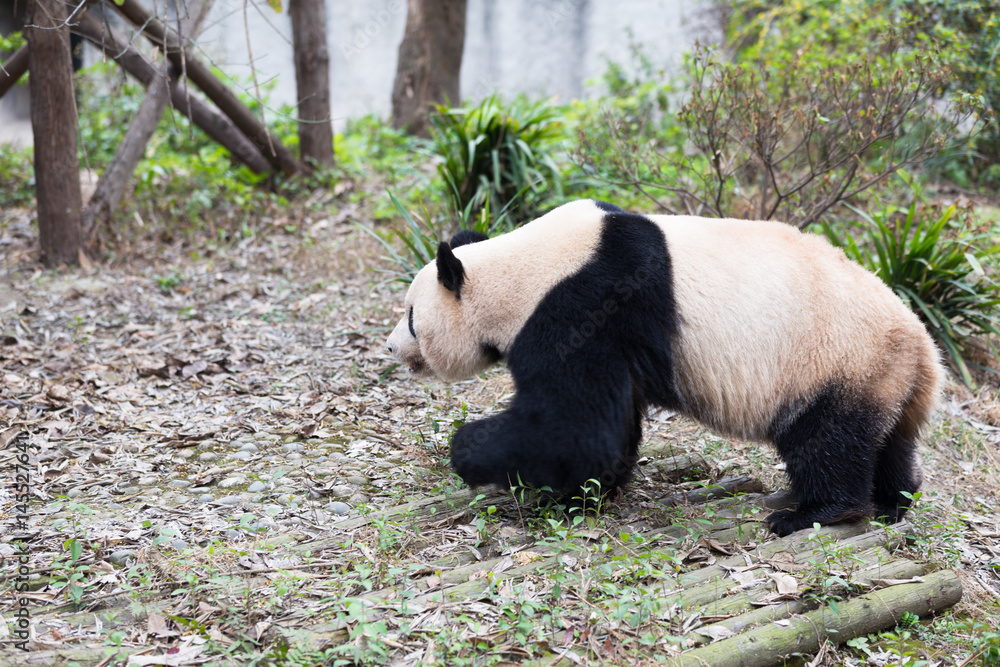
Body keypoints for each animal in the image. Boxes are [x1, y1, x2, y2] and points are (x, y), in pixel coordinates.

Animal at [386, 198, 940, 536]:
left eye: (411, 316)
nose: (391, 349)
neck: (521, 268)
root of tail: (924, 346)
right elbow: (610, 425)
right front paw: (590, 493)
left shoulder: (585, 305)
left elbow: (576, 424)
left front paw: (469, 450)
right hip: (884, 375)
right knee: (887, 441)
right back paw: (895, 500)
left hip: (835, 360)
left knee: (826, 439)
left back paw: (813, 513)